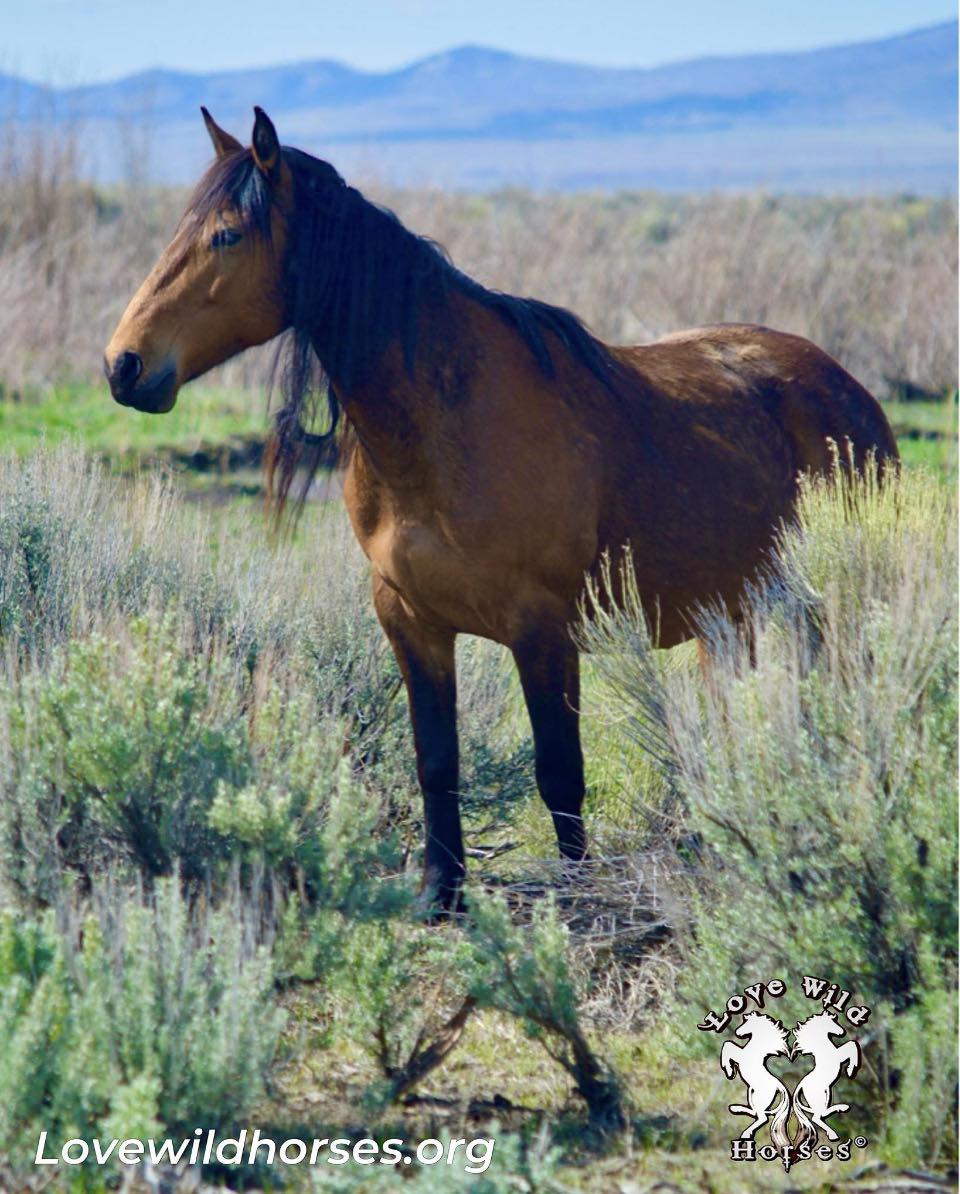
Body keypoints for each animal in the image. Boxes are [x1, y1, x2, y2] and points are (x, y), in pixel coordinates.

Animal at [104, 107, 899, 912]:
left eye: (227, 236)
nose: (124, 365)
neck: (445, 428)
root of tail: (849, 390)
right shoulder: (409, 619)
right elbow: (437, 760)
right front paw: (440, 894)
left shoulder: (541, 628)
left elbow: (560, 773)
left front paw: (578, 896)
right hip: (734, 616)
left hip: (829, 606)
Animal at [720, 1013, 792, 1148]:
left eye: (747, 1023)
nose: (737, 1032)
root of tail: (780, 1086)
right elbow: (728, 1045)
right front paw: (730, 1070)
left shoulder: (740, 1056)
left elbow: (728, 1045)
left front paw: (729, 1070)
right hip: (751, 1093)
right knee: (755, 1113)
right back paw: (736, 1108)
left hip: (760, 1097)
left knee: (762, 1117)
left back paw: (746, 1133)